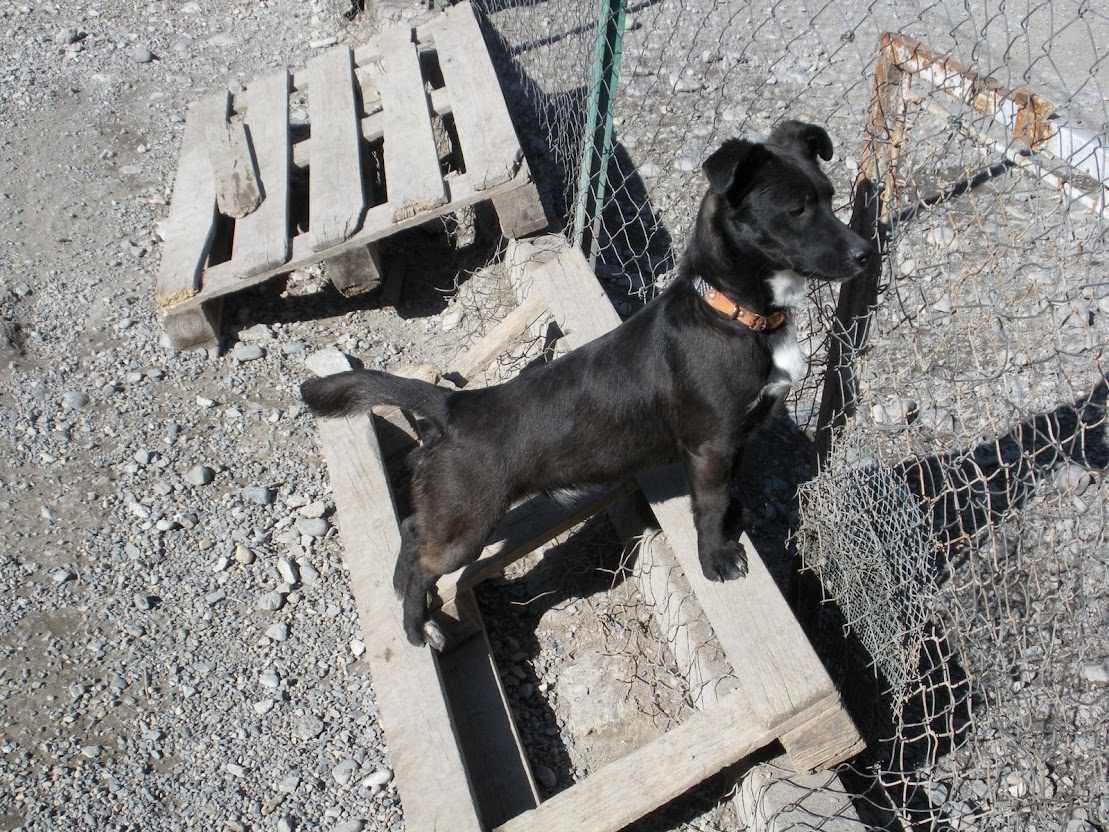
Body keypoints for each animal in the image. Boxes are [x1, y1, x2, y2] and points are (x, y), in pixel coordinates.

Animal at [303, 120, 873, 647]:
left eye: (829, 197)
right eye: (796, 210)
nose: (867, 252)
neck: (733, 315)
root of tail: (455, 406)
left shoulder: (736, 440)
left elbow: (729, 493)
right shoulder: (711, 446)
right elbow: (710, 507)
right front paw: (716, 558)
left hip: (449, 513)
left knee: (411, 530)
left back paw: (404, 592)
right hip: (468, 524)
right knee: (426, 559)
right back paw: (417, 629)